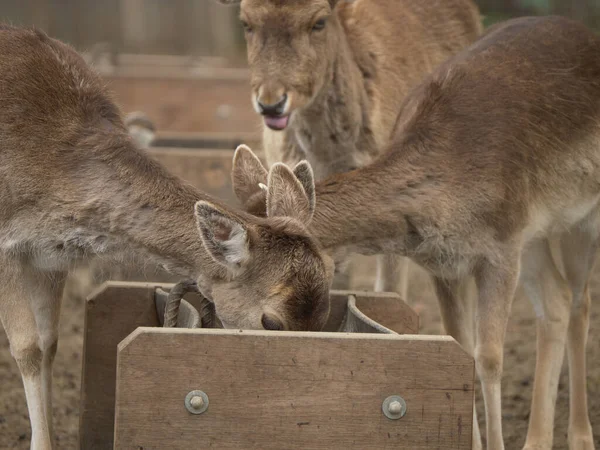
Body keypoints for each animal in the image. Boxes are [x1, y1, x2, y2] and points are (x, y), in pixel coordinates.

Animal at [0, 25, 332, 450]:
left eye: (323, 315)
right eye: (271, 322)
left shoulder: (49, 258)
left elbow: (49, 343)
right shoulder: (7, 247)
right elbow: (27, 348)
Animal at [233, 15, 600, 450]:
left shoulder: (502, 249)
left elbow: (491, 357)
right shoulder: (447, 263)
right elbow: (463, 348)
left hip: (582, 218)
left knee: (580, 300)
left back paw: (581, 436)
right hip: (537, 234)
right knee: (557, 300)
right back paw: (538, 440)